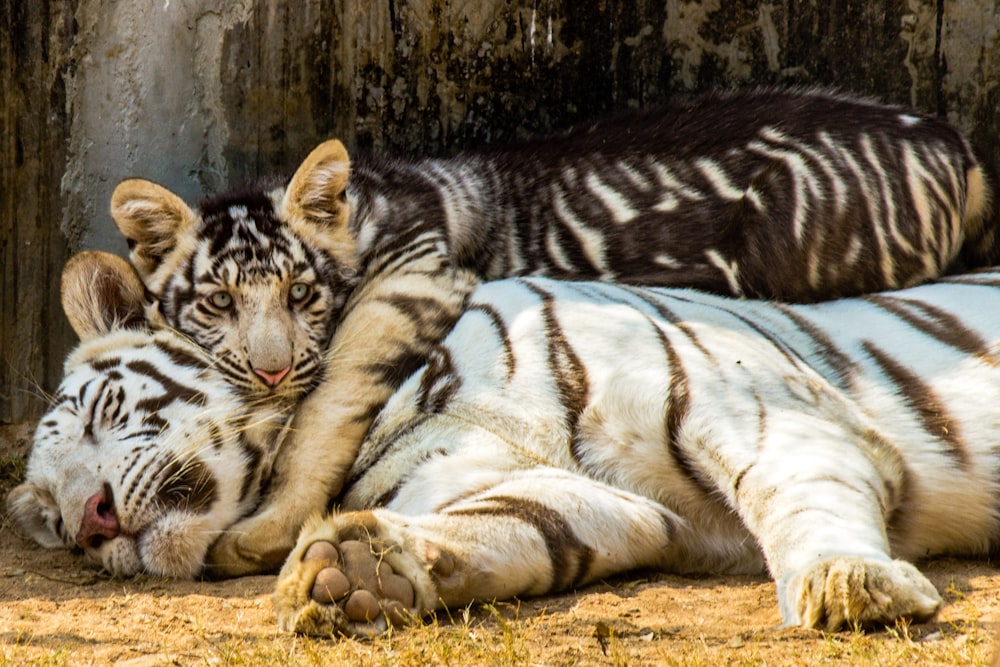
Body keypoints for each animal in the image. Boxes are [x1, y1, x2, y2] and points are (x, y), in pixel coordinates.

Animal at [7, 250, 1000, 632]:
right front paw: (355, 573)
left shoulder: (745, 399)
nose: (92, 522)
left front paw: (851, 583)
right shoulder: (616, 505)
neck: (400, 404)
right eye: (49, 517)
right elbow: (514, 525)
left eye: (100, 411)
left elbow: (799, 492)